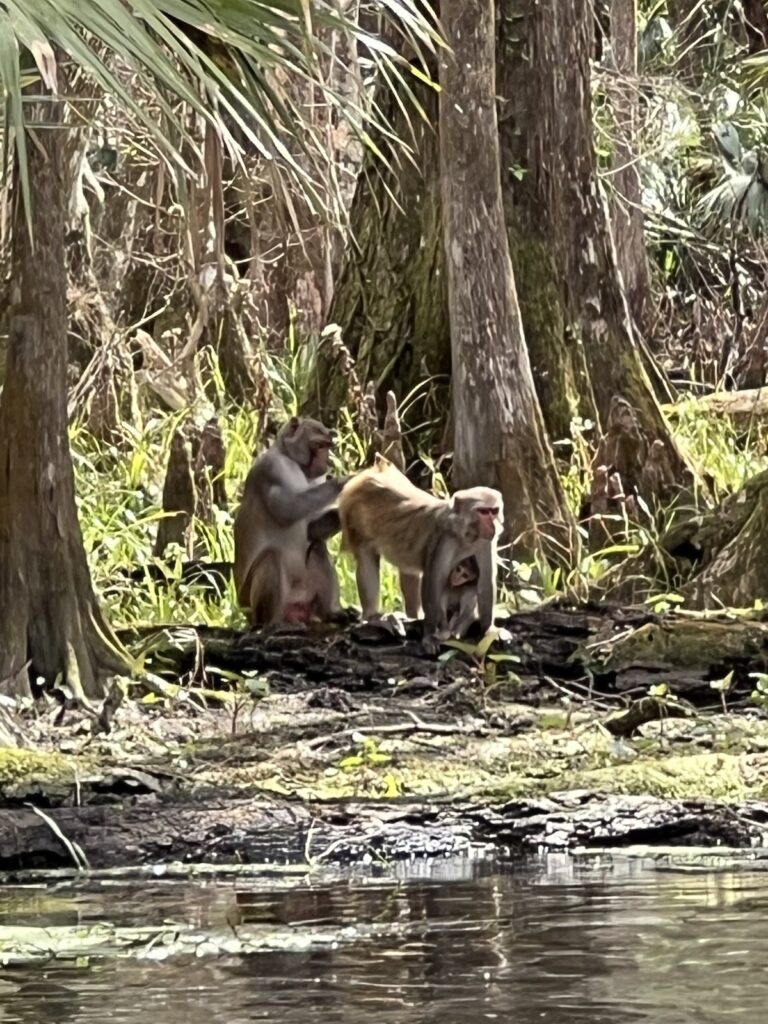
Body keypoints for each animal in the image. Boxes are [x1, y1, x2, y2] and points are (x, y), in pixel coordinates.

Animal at [231, 413, 346, 622]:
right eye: (319, 446)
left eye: (327, 446)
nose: (325, 463)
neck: (291, 459)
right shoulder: (271, 469)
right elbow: (286, 509)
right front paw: (347, 481)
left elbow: (311, 530)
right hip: (252, 607)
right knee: (271, 558)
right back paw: (272, 622)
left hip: (305, 598)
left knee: (317, 547)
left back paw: (330, 612)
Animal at [339, 456, 501, 655]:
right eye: (483, 512)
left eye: (494, 511)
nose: (493, 525)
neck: (465, 533)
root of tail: (372, 475)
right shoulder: (443, 539)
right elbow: (433, 582)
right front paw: (429, 635)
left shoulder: (486, 542)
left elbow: (485, 582)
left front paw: (489, 629)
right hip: (356, 515)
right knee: (366, 560)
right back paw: (373, 617)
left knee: (409, 572)